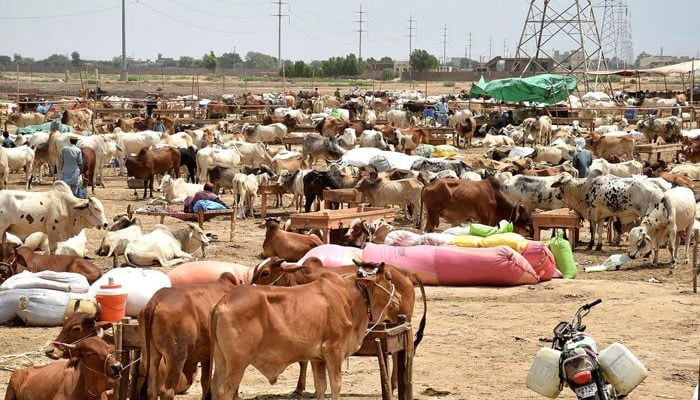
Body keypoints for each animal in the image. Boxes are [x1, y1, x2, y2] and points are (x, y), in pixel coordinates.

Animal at [138, 270, 242, 398]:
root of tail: (154, 301)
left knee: (151, 389)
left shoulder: (207, 354)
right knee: (167, 391)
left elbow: (205, 381)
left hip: (150, 355)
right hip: (176, 356)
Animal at [211, 260, 400, 400]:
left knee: (216, 390)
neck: (350, 297)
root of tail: (222, 303)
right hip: (238, 363)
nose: (398, 298)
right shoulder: (333, 349)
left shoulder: (318, 358)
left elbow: (321, 387)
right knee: (226, 392)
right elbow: (336, 385)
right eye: (389, 278)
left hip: (221, 361)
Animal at [252, 256, 426, 394]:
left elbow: (304, 361)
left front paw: (300, 388)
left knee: (398, 354)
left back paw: (393, 384)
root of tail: (407, 274)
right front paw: (300, 387)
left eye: (265, 273)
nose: (250, 288)